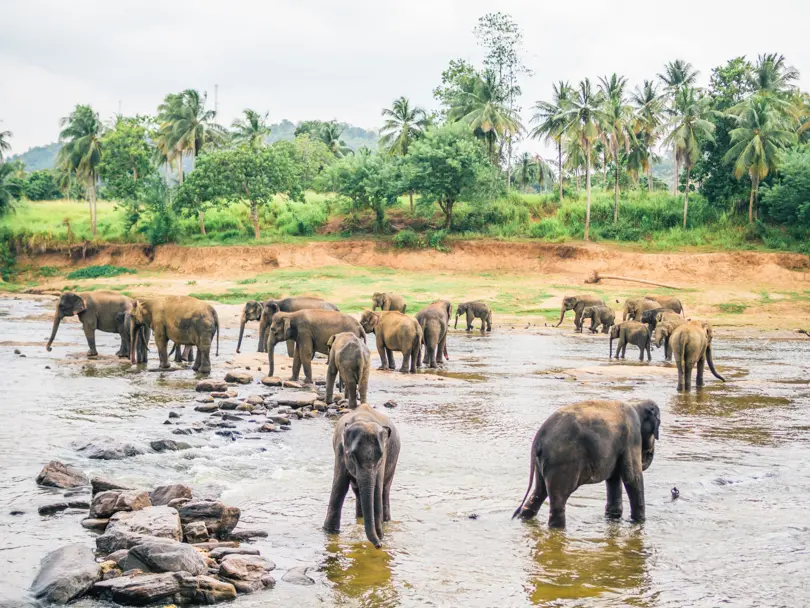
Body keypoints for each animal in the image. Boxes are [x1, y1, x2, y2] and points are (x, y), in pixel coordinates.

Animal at [323, 403, 400, 549]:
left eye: (380, 457)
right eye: (351, 455)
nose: (379, 545)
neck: (364, 419)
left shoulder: (384, 457)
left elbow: (377, 490)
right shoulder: (340, 451)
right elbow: (340, 487)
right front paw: (329, 531)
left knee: (384, 490)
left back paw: (385, 521)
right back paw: (360, 518)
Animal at [513, 399, 660, 528]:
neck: (636, 404)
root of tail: (538, 440)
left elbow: (613, 479)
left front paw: (613, 518)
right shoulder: (632, 437)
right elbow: (632, 477)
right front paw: (639, 522)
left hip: (542, 464)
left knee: (539, 492)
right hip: (562, 462)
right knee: (558, 501)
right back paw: (557, 529)